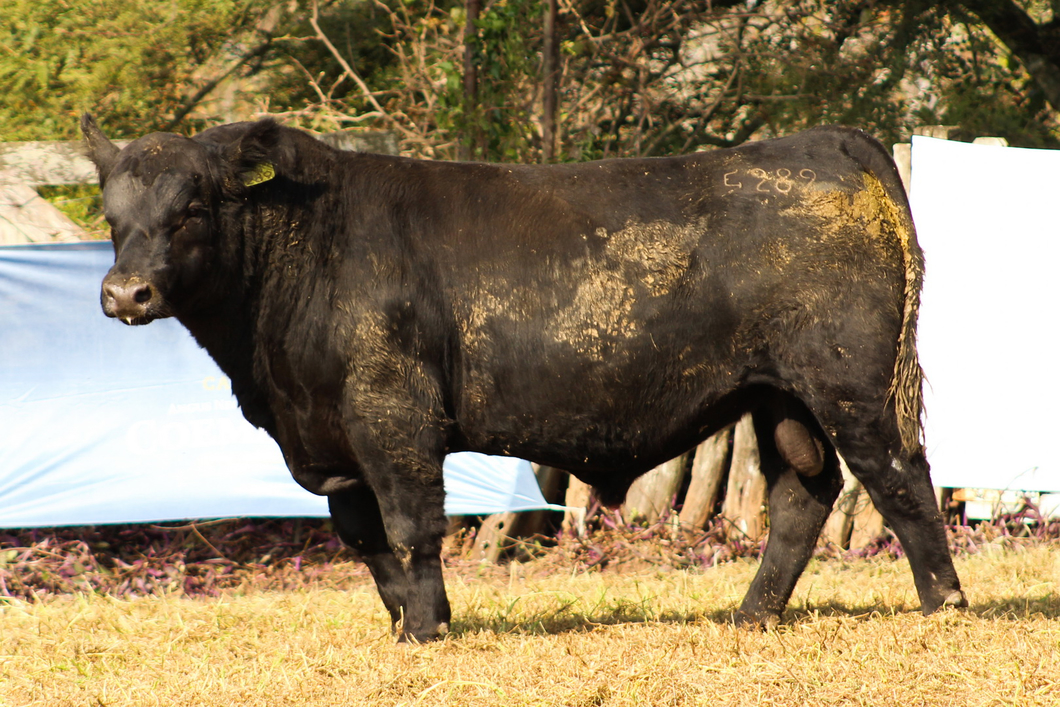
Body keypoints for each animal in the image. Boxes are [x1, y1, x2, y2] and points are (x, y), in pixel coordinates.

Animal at [78, 117, 966, 640]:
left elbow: (412, 526)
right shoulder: (332, 441)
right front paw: (407, 625)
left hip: (850, 384)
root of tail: (820, 141)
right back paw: (751, 617)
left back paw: (945, 604)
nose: (125, 293)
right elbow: (366, 538)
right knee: (802, 496)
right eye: (113, 214)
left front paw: (427, 630)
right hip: (778, 397)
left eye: (193, 207)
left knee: (900, 477)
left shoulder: (393, 419)